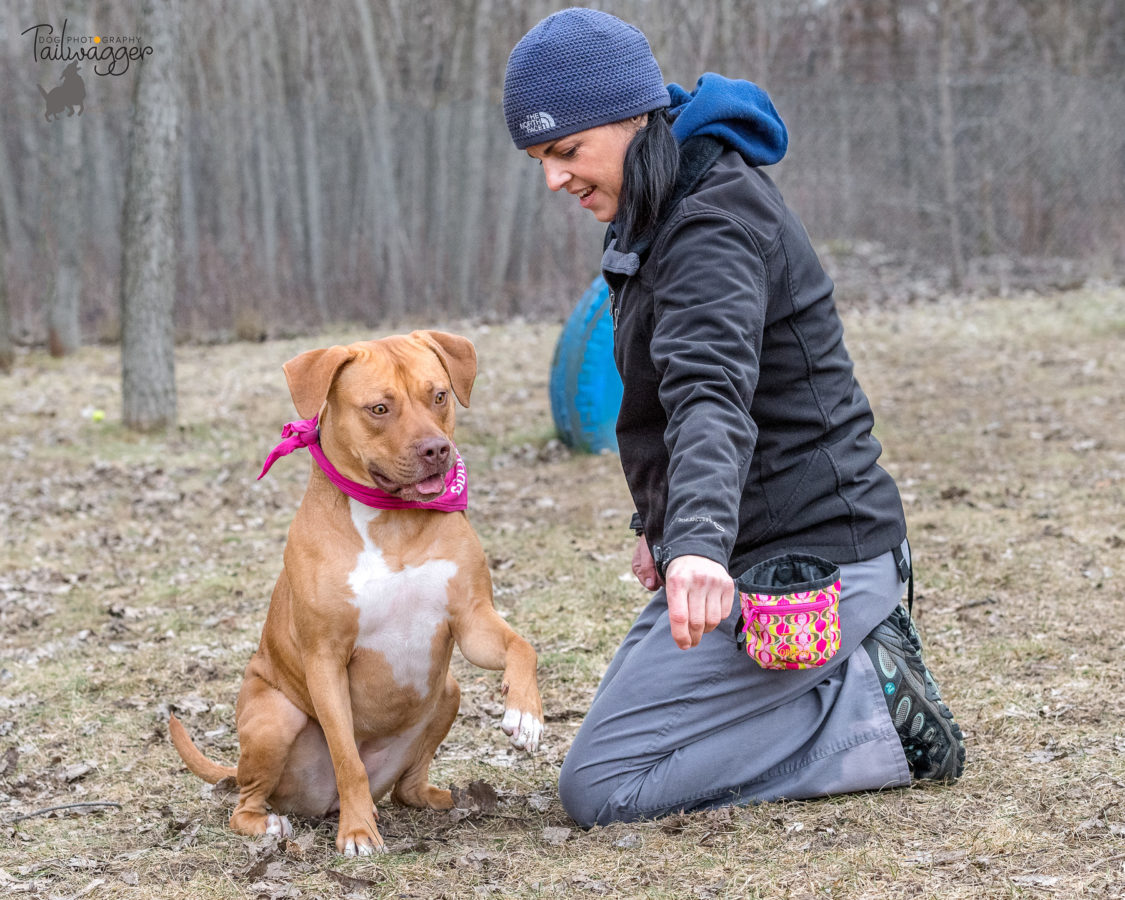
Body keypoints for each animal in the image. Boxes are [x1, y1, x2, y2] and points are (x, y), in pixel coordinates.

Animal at [167, 333, 549, 859]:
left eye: (439, 396)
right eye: (379, 408)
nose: (436, 449)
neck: (393, 521)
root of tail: (317, 803)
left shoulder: (472, 619)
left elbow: (521, 646)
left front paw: (525, 713)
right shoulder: (325, 658)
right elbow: (348, 756)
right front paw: (358, 833)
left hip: (447, 691)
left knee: (407, 785)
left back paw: (442, 798)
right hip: (275, 718)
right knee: (245, 802)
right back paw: (272, 824)